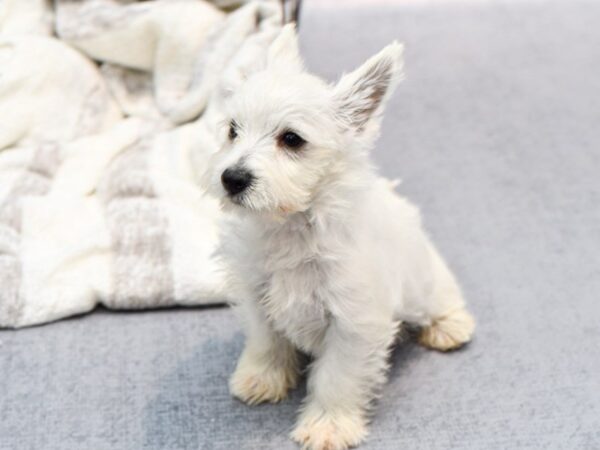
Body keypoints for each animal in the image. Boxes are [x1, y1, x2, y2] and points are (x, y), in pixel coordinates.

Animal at [204, 23, 476, 450]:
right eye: (233, 130)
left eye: (292, 139)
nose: (231, 178)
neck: (291, 227)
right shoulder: (256, 297)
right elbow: (266, 342)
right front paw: (262, 379)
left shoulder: (353, 324)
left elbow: (336, 378)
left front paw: (327, 426)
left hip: (423, 284)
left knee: (443, 296)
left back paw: (449, 327)